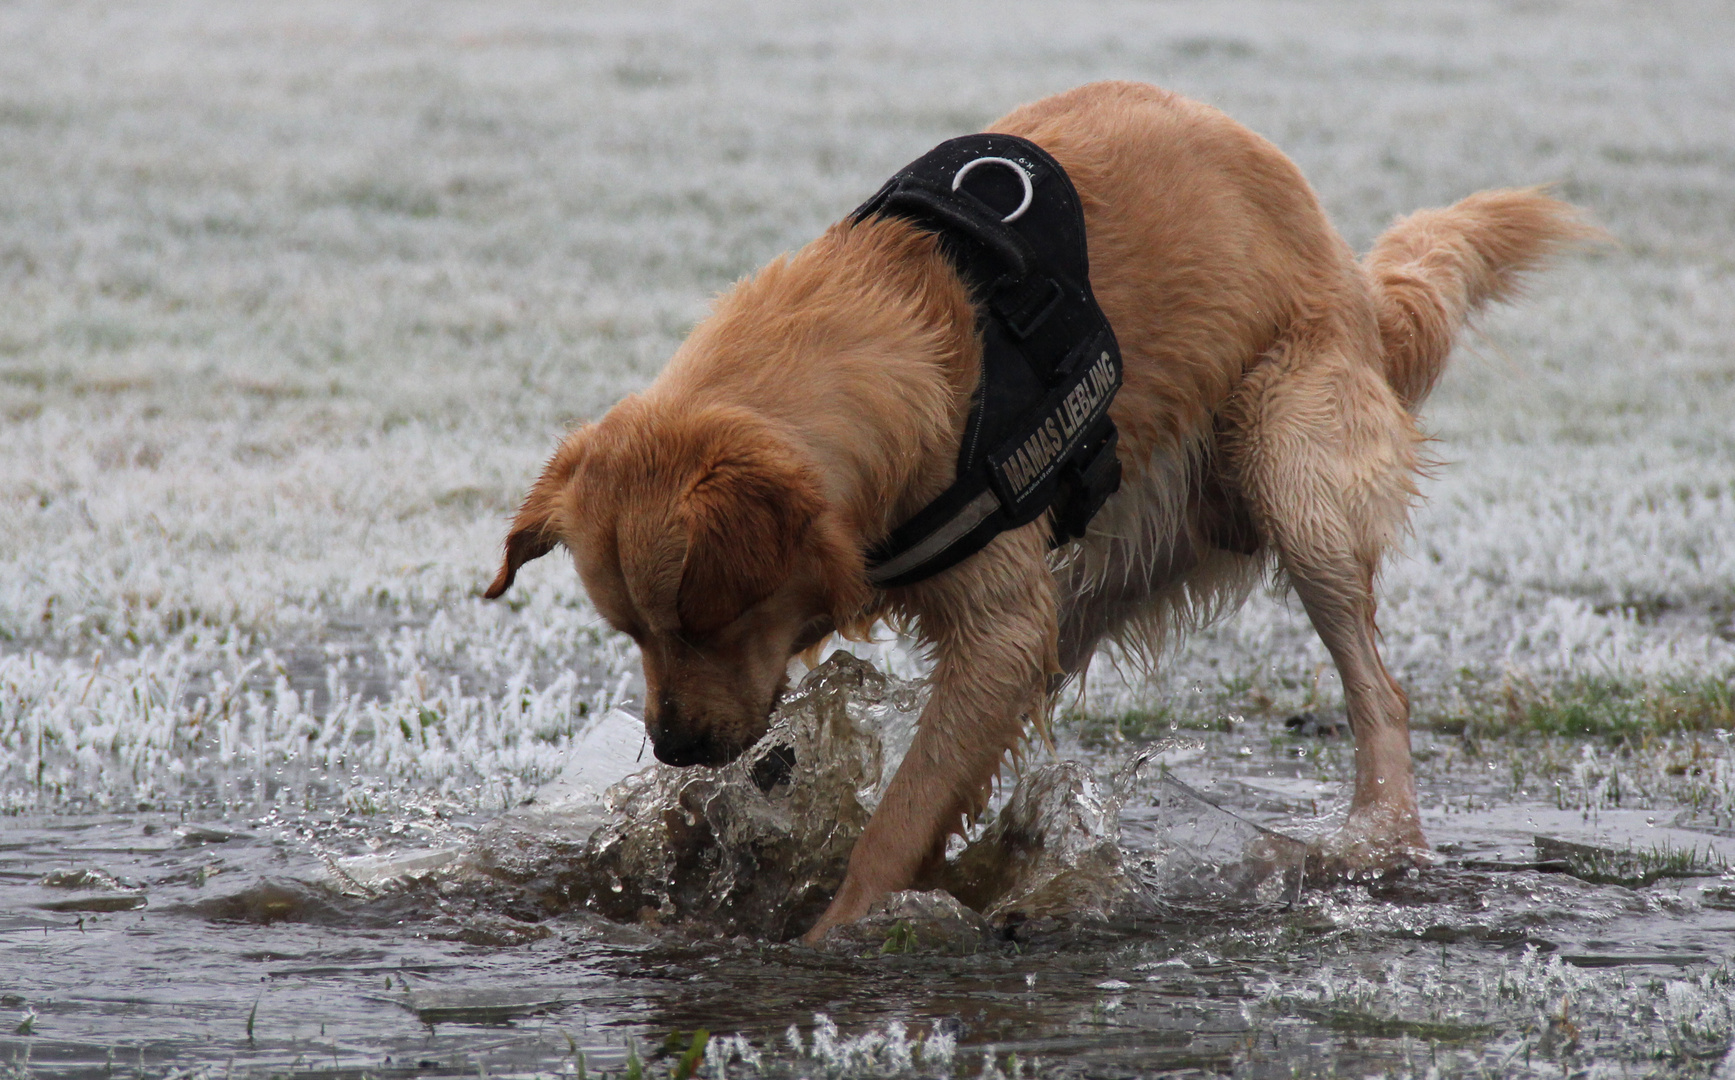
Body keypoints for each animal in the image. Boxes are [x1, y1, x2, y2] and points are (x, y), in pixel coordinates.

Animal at [482, 80, 1589, 944]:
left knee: (1378, 692)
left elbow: (899, 815)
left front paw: (841, 924)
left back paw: (1377, 834)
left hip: (1290, 465)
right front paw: (672, 837)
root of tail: (1350, 275)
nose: (673, 744)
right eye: (631, 632)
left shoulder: (994, 619)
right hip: (1116, 555)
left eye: (705, 620)